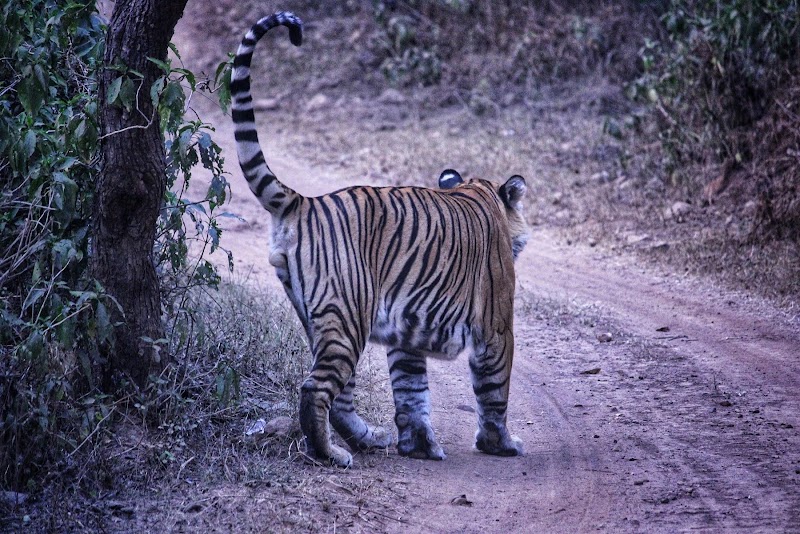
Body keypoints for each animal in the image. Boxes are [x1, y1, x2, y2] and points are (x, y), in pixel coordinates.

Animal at [231, 12, 529, 467]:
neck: (478, 192)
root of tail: (304, 201)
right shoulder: (496, 325)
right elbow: (494, 388)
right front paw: (500, 444)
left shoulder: (407, 334)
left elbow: (411, 391)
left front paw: (419, 445)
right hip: (348, 316)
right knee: (315, 389)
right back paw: (331, 454)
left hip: (326, 320)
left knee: (339, 396)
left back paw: (370, 438)